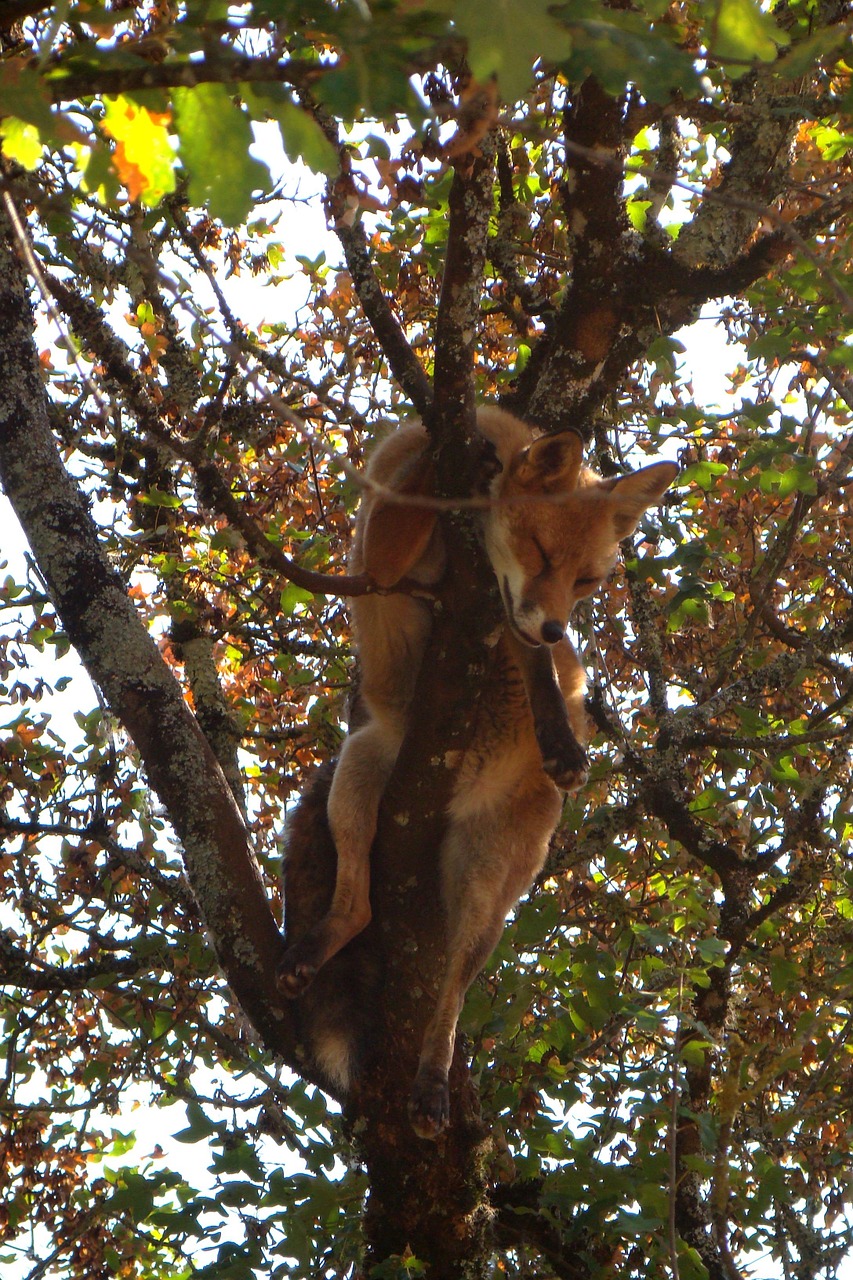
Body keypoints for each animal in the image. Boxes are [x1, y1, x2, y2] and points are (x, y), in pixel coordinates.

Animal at [280, 404, 676, 1136]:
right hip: (360, 771)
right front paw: (461, 451)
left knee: (452, 999)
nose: (556, 628)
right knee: (356, 907)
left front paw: (559, 737)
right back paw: (319, 949)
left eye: (587, 580)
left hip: (486, 893)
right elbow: (408, 517)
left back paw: (432, 1083)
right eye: (542, 554)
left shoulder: (500, 615)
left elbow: (540, 674)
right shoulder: (385, 557)